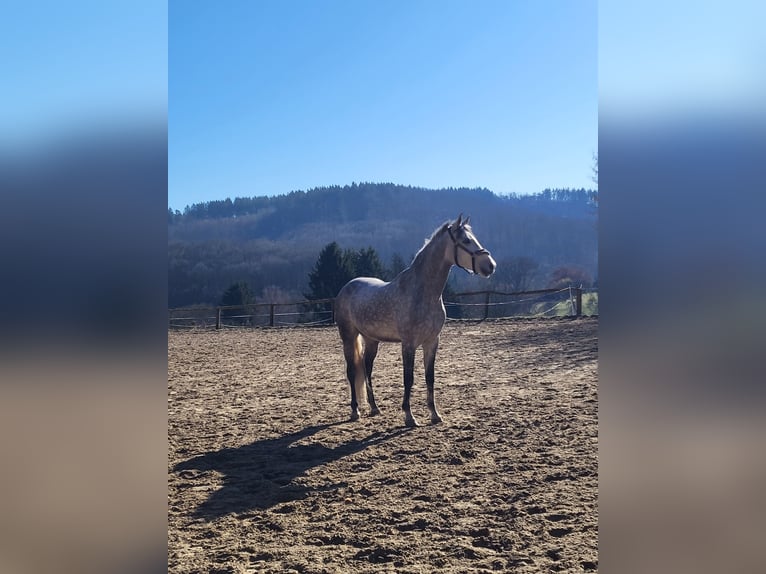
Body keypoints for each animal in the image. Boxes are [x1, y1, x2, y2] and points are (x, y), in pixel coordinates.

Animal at [334, 215, 496, 427]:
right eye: (466, 240)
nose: (490, 265)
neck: (423, 293)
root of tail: (346, 287)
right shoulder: (409, 344)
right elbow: (408, 378)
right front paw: (409, 416)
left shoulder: (432, 342)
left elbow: (430, 377)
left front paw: (434, 414)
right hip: (348, 337)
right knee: (352, 371)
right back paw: (355, 411)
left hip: (371, 340)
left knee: (367, 369)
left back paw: (374, 408)